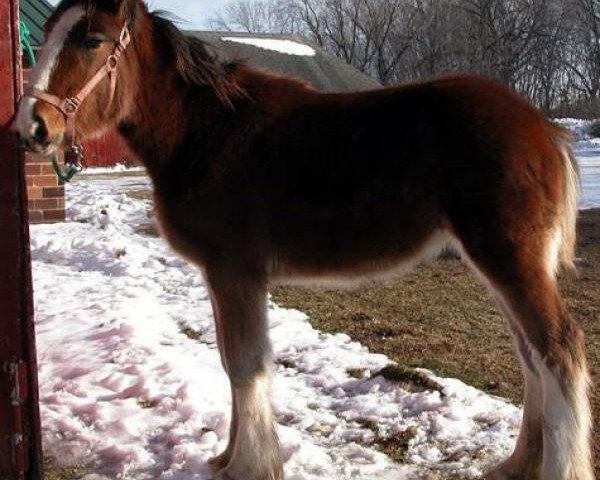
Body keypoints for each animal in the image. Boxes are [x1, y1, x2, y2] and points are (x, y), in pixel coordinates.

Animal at [16, 0, 592, 480]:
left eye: (92, 39)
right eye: (45, 34)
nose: (31, 127)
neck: (206, 135)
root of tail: (544, 128)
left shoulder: (235, 273)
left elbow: (245, 365)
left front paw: (249, 467)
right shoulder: (222, 277)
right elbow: (230, 360)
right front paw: (225, 459)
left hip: (510, 260)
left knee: (558, 348)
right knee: (530, 355)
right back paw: (517, 466)